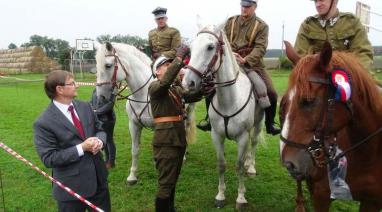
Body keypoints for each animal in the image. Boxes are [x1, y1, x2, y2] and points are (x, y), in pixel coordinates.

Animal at [94, 42, 195, 185]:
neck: (143, 94)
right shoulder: (134, 125)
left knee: (185, 131)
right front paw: (132, 176)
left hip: (188, 112)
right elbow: (135, 150)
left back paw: (185, 155)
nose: (101, 97)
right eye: (96, 65)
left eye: (108, 65)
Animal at [182, 25, 262, 210]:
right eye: (191, 48)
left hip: (258, 123)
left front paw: (241, 198)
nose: (187, 83)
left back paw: (251, 166)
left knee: (254, 142)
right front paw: (220, 195)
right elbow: (221, 164)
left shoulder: (242, 138)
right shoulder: (217, 136)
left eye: (210, 47)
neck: (230, 100)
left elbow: (238, 167)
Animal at [280, 41, 382, 210]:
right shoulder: (322, 196)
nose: (289, 163)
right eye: (286, 101)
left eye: (309, 100)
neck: (368, 153)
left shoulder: (373, 201)